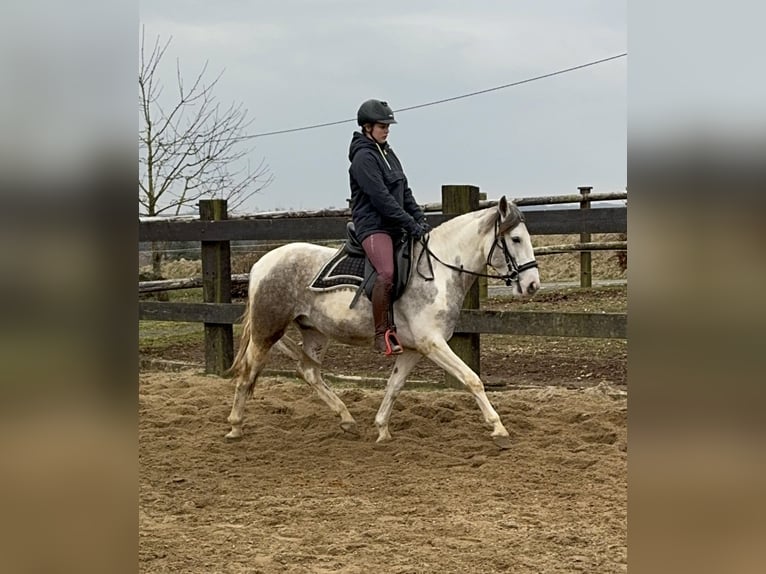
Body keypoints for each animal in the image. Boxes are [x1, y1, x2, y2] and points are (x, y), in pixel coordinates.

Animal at [225, 197, 544, 450]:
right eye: (516, 239)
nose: (532, 285)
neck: (438, 271)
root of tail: (261, 264)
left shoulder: (414, 349)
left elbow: (394, 385)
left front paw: (381, 430)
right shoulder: (433, 344)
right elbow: (472, 379)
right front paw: (499, 428)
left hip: (315, 332)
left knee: (310, 372)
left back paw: (347, 419)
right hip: (267, 330)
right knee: (248, 372)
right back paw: (235, 426)